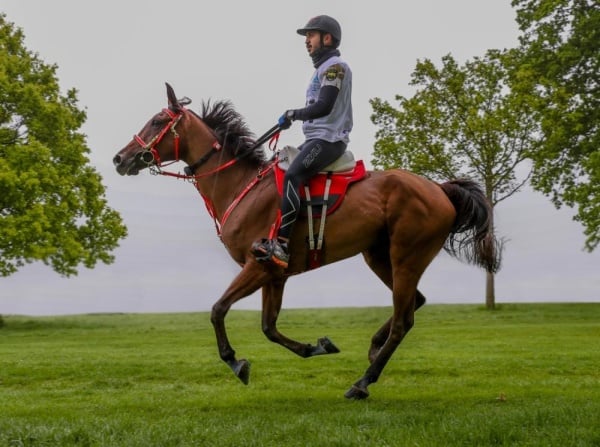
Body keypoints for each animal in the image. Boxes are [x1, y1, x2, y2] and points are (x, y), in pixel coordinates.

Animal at [113, 83, 502, 400]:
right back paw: (374, 349)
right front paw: (318, 347)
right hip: (378, 256)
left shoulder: (257, 266)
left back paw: (363, 382)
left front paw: (236, 362)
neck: (239, 186)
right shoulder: (274, 274)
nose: (121, 158)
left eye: (158, 120)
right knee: (412, 305)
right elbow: (269, 328)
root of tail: (440, 190)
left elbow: (218, 310)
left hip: (406, 257)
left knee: (403, 320)